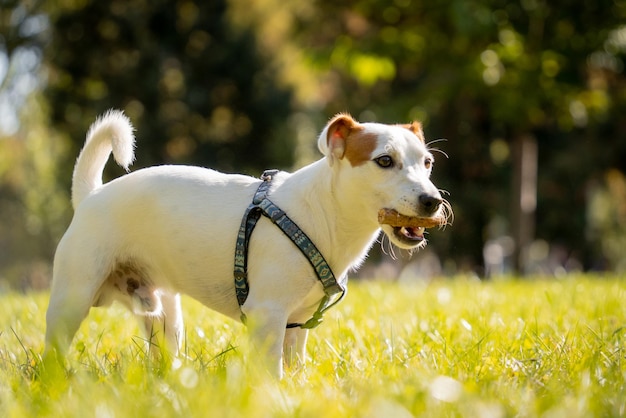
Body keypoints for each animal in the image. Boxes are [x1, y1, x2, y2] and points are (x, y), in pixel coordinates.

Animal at [45, 109, 448, 378]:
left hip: (165, 316)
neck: (323, 212)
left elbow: (295, 365)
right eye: (385, 161)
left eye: (428, 162)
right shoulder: (267, 313)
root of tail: (91, 195)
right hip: (72, 298)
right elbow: (272, 372)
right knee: (55, 346)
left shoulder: (296, 324)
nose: (433, 201)